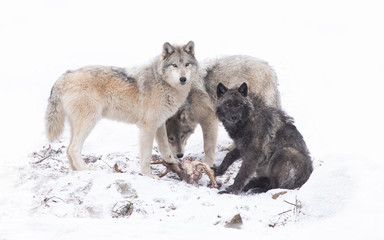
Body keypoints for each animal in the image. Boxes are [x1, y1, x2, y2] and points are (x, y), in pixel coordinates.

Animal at [45, 40, 198, 176]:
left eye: (186, 64)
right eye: (174, 65)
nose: (183, 79)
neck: (162, 82)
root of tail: (65, 76)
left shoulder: (159, 124)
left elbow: (164, 147)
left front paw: (172, 161)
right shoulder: (147, 127)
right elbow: (146, 155)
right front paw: (149, 175)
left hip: (77, 125)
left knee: (68, 150)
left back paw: (76, 171)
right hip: (89, 122)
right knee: (73, 149)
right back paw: (86, 170)